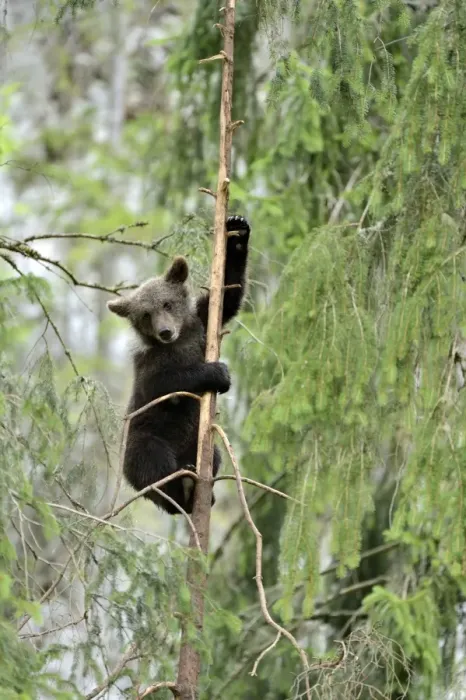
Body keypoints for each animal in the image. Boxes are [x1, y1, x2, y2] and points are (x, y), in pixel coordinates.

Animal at [107, 215, 251, 515]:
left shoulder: (201, 326)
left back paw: (199, 488)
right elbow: (163, 383)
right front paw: (218, 373)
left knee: (215, 455)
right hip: (143, 439)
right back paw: (179, 489)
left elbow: (228, 297)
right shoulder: (149, 363)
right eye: (145, 314)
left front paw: (237, 229)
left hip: (196, 442)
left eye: (167, 304)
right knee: (152, 464)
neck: (179, 340)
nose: (165, 332)